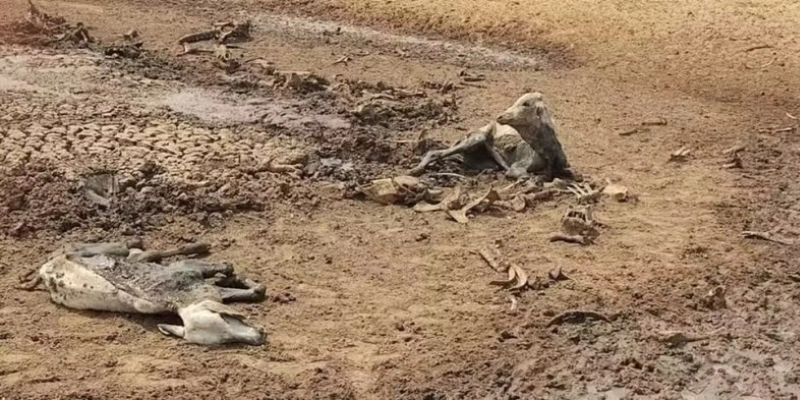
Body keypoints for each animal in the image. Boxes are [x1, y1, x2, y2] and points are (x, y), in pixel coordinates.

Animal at [21, 241, 268, 346]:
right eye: (226, 339)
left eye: (226, 319)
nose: (260, 337)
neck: (179, 300)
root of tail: (45, 271)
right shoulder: (189, 272)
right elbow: (242, 280)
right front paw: (233, 278)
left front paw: (232, 278)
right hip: (116, 251)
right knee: (141, 250)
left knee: (142, 252)